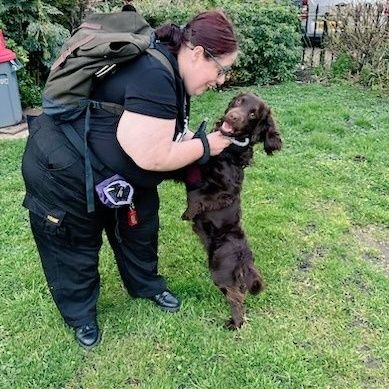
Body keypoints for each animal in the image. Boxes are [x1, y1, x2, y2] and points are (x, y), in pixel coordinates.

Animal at [182, 93, 282, 328]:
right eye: (238, 102)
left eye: (253, 114)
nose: (233, 117)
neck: (229, 149)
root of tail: (245, 257)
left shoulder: (226, 191)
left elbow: (201, 198)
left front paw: (188, 213)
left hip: (220, 269)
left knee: (236, 296)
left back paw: (234, 324)